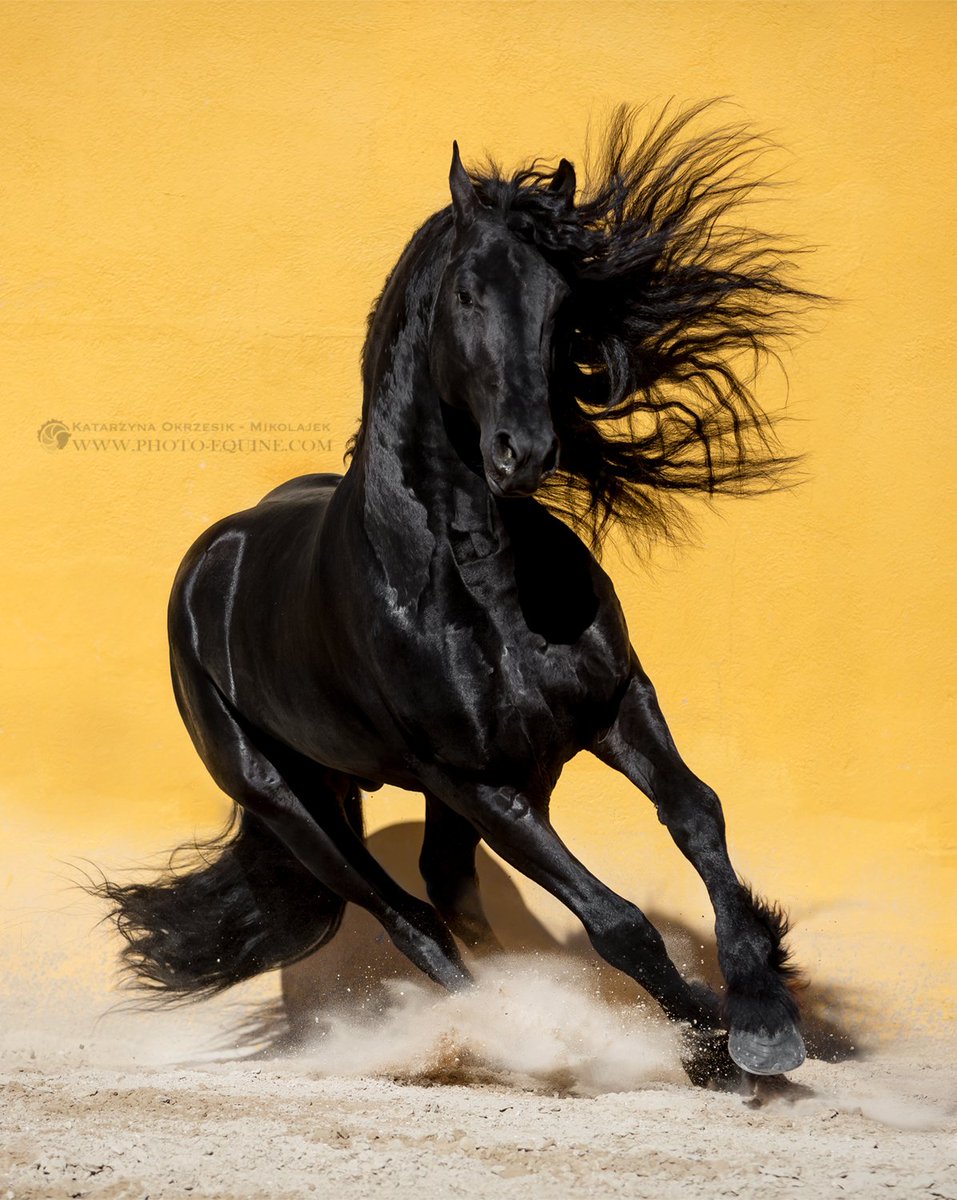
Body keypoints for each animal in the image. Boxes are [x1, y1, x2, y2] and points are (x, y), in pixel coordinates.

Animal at [98, 104, 815, 1086]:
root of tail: (208, 563)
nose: (524, 452)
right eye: (468, 295)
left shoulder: (613, 705)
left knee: (447, 891)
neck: (477, 577)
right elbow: (616, 922)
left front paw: (764, 1009)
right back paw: (520, 1035)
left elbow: (697, 815)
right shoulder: (476, 779)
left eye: (561, 303)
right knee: (412, 920)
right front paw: (710, 1043)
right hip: (290, 800)